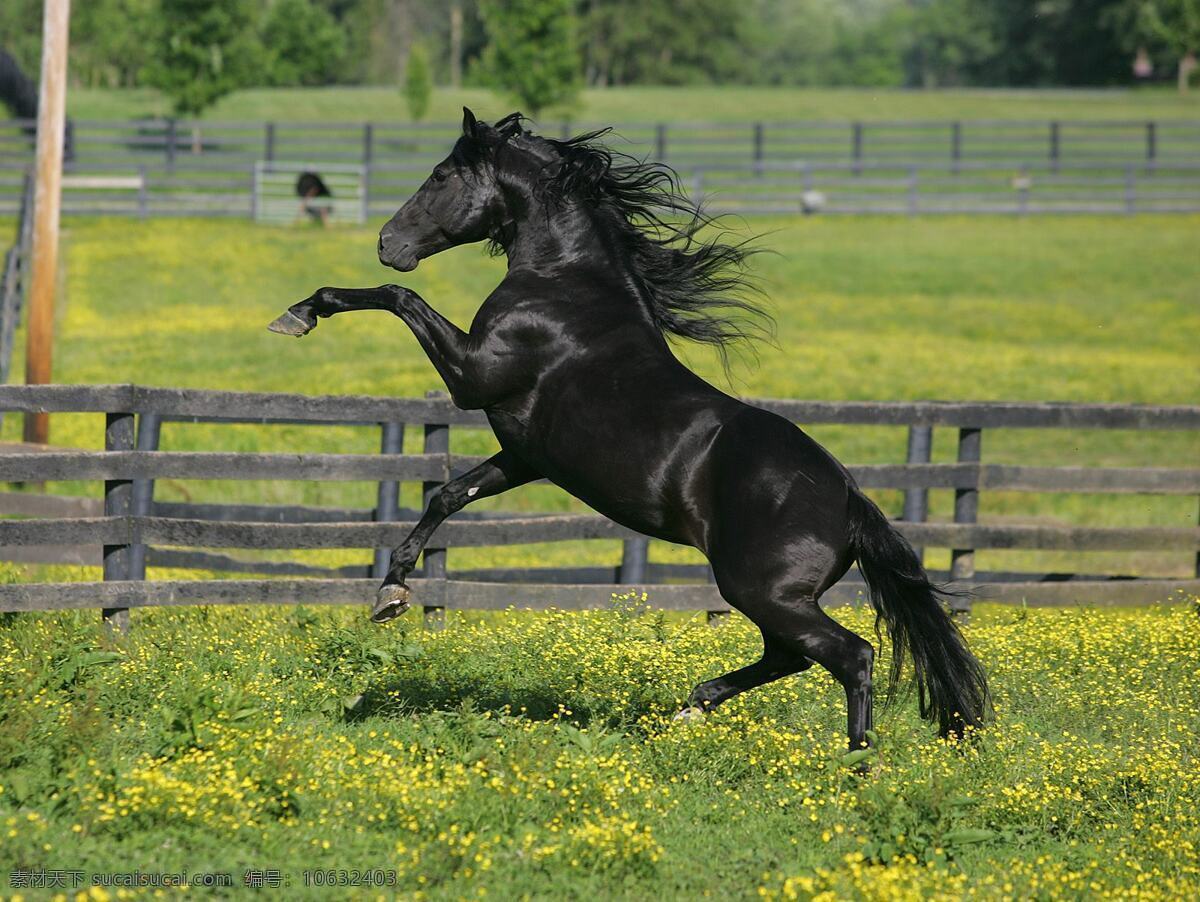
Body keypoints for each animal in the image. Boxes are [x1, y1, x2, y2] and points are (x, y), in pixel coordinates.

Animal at [268, 109, 991, 750]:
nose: (387, 243)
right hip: (771, 596)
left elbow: (400, 300)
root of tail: (849, 499)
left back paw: (856, 766)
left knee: (850, 655)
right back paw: (693, 707)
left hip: (763, 590)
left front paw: (301, 312)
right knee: (789, 656)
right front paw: (391, 590)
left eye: (443, 174)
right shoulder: (524, 454)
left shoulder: (472, 377)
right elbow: (448, 494)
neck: (565, 287)